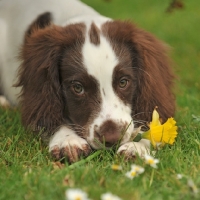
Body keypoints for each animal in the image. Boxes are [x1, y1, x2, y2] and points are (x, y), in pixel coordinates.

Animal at [0, 0, 175, 162]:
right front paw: (68, 142)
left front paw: (137, 147)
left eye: (123, 82)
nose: (112, 138)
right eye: (78, 88)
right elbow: (46, 113)